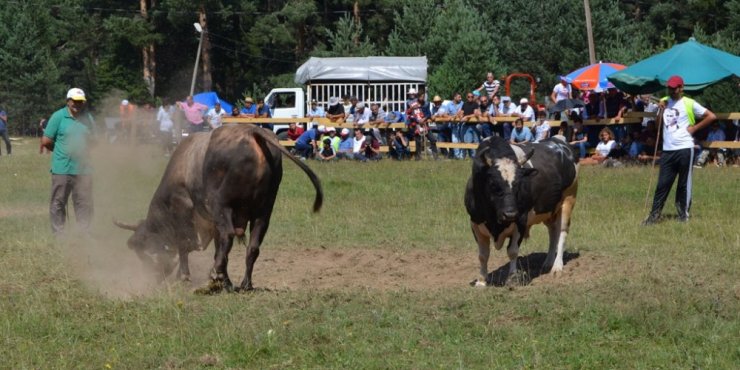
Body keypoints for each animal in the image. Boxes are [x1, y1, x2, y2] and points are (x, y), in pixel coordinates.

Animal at [114, 124, 322, 292]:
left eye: (142, 249)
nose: (155, 277)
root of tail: (252, 132)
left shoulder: (183, 208)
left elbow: (184, 244)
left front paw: (184, 276)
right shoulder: (212, 224)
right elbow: (215, 247)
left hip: (222, 204)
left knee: (228, 236)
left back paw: (218, 275)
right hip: (264, 210)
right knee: (252, 246)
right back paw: (244, 284)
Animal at [462, 136, 580, 286]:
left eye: (519, 183)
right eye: (493, 184)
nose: (510, 214)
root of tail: (558, 140)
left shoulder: (521, 220)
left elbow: (512, 251)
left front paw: (512, 278)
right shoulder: (475, 223)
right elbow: (483, 255)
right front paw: (482, 281)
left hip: (568, 200)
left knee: (562, 232)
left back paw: (557, 267)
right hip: (549, 210)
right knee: (553, 232)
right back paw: (548, 263)